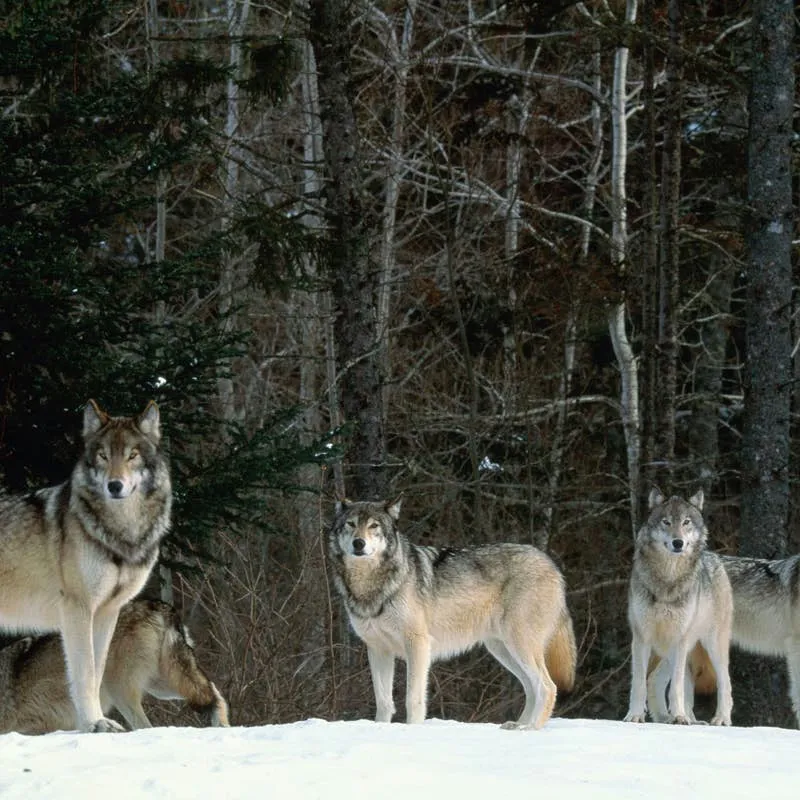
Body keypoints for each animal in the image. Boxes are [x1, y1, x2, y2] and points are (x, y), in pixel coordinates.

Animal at [0, 400, 172, 732]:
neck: (119, 535)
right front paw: (94, 723)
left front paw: (93, 723)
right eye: (103, 455)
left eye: (132, 455)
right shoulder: (77, 609)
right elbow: (85, 673)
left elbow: (97, 670)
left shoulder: (107, 611)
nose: (114, 485)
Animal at [328, 498, 577, 730]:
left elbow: (413, 698)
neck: (371, 585)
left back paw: (531, 728)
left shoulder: (418, 644)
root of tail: (552, 565)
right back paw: (517, 726)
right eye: (351, 524)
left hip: (519, 645)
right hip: (502, 650)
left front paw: (412, 730)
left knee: (547, 686)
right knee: (530, 687)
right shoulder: (378, 649)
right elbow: (383, 701)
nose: (358, 543)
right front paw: (381, 728)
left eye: (373, 526)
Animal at [624, 488, 733, 725]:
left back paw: (719, 719)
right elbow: (639, 682)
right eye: (666, 522)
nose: (678, 542)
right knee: (655, 679)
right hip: (672, 649)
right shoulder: (642, 637)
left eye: (686, 522)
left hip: (711, 645)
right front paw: (635, 716)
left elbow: (676, 687)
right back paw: (669, 718)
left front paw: (680, 717)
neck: (668, 578)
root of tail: (716, 558)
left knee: (725, 682)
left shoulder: (679, 639)